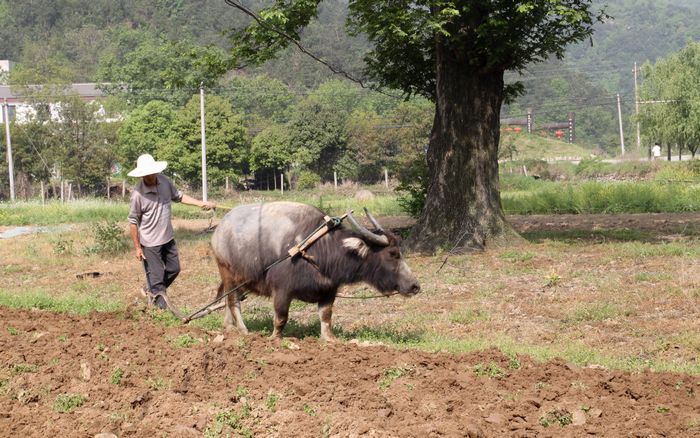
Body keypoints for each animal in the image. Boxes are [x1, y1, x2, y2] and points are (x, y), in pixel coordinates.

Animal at [211, 202, 418, 342]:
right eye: (393, 254)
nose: (415, 286)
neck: (320, 250)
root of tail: (219, 230)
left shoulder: (328, 291)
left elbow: (326, 317)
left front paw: (330, 339)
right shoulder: (282, 290)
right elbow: (281, 318)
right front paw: (274, 339)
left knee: (229, 301)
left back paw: (228, 327)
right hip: (227, 273)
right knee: (233, 301)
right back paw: (243, 330)